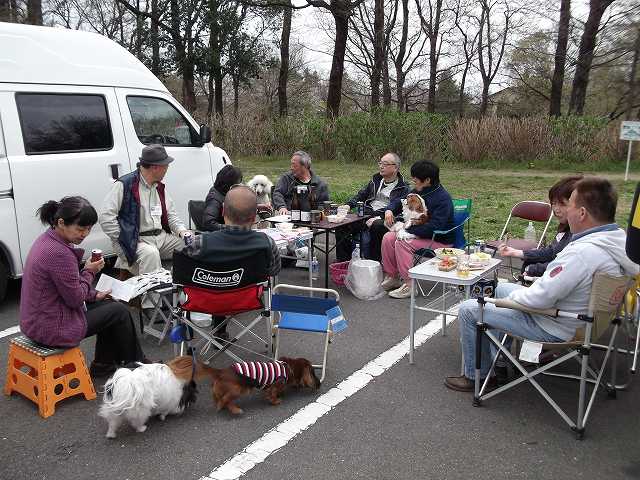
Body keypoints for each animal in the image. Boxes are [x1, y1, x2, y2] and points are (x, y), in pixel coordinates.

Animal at [176, 354, 320, 414]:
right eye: (312, 372)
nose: (319, 384)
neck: (288, 367)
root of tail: (222, 371)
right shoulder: (274, 385)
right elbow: (272, 394)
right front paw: (276, 401)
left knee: (217, 396)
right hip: (239, 389)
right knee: (225, 400)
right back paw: (234, 409)